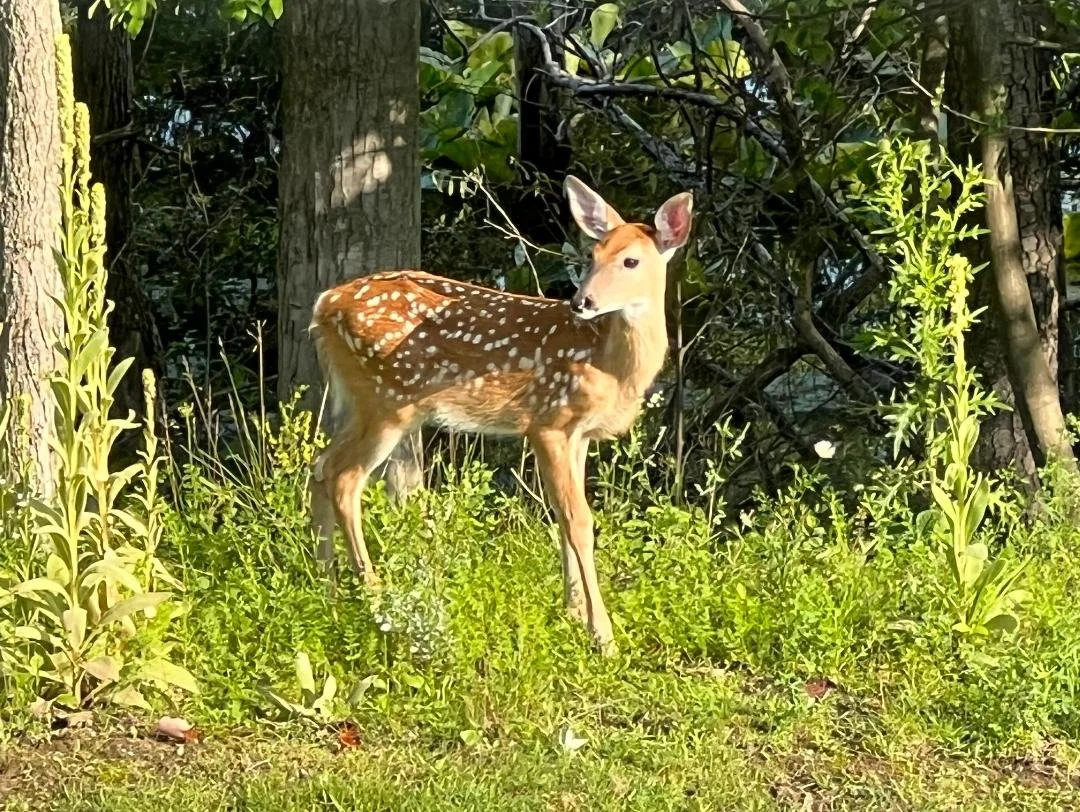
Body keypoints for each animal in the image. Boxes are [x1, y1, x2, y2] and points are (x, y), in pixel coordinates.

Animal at [307, 176, 693, 654]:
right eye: (592, 255)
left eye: (630, 260)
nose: (581, 301)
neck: (609, 363)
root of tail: (323, 305)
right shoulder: (547, 421)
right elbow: (579, 520)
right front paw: (602, 635)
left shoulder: (578, 434)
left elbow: (563, 516)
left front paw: (571, 613)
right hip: (388, 402)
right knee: (345, 479)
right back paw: (377, 599)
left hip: (365, 402)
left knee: (320, 465)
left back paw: (326, 592)